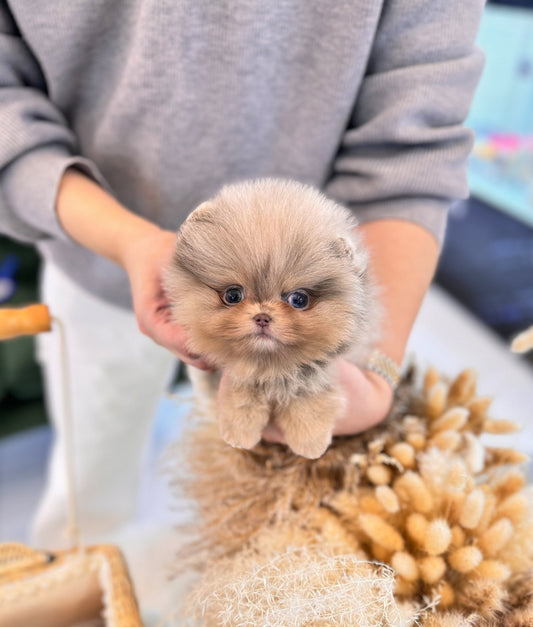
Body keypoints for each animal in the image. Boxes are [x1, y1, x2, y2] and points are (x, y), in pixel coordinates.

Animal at [164, 179, 376, 458]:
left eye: (299, 299)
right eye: (233, 295)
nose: (263, 317)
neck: (269, 366)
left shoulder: (321, 370)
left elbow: (309, 398)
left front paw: (310, 443)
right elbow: (241, 394)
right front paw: (239, 434)